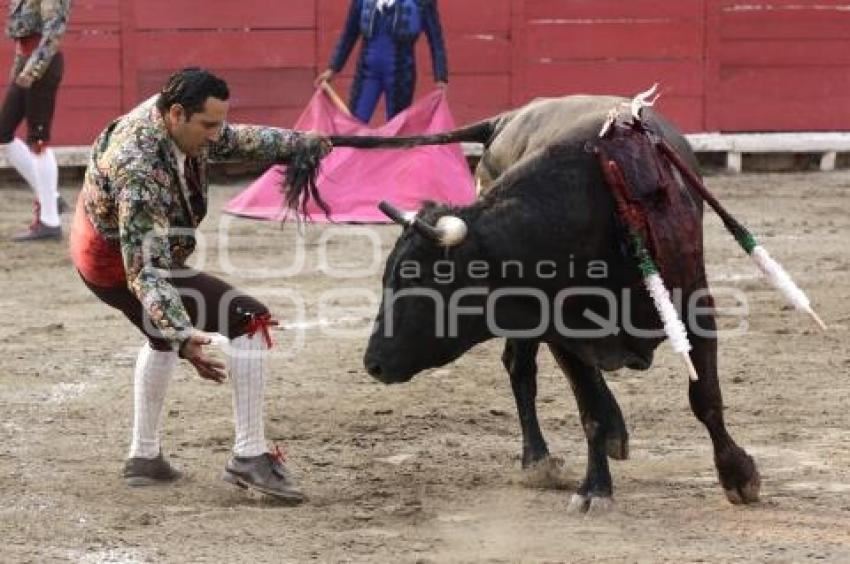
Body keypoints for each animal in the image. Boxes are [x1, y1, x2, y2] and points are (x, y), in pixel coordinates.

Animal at [330, 94, 756, 512]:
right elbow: (590, 411)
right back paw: (541, 459)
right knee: (521, 369)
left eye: (416, 279)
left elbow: (704, 397)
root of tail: (507, 118)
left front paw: (738, 476)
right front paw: (595, 489)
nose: (373, 364)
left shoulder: (695, 306)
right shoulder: (559, 330)